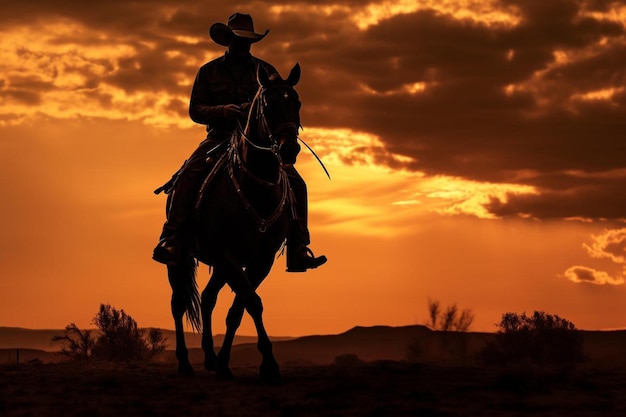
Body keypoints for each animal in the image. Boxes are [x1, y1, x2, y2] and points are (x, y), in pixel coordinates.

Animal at [166, 62, 302, 380]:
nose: (289, 149)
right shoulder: (228, 256)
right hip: (181, 259)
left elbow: (239, 308)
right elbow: (252, 302)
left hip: (219, 266)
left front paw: (226, 363)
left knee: (207, 298)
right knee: (178, 304)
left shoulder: (259, 259)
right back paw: (184, 363)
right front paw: (269, 364)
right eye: (268, 104)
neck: (255, 186)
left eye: (297, 103)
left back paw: (210, 358)